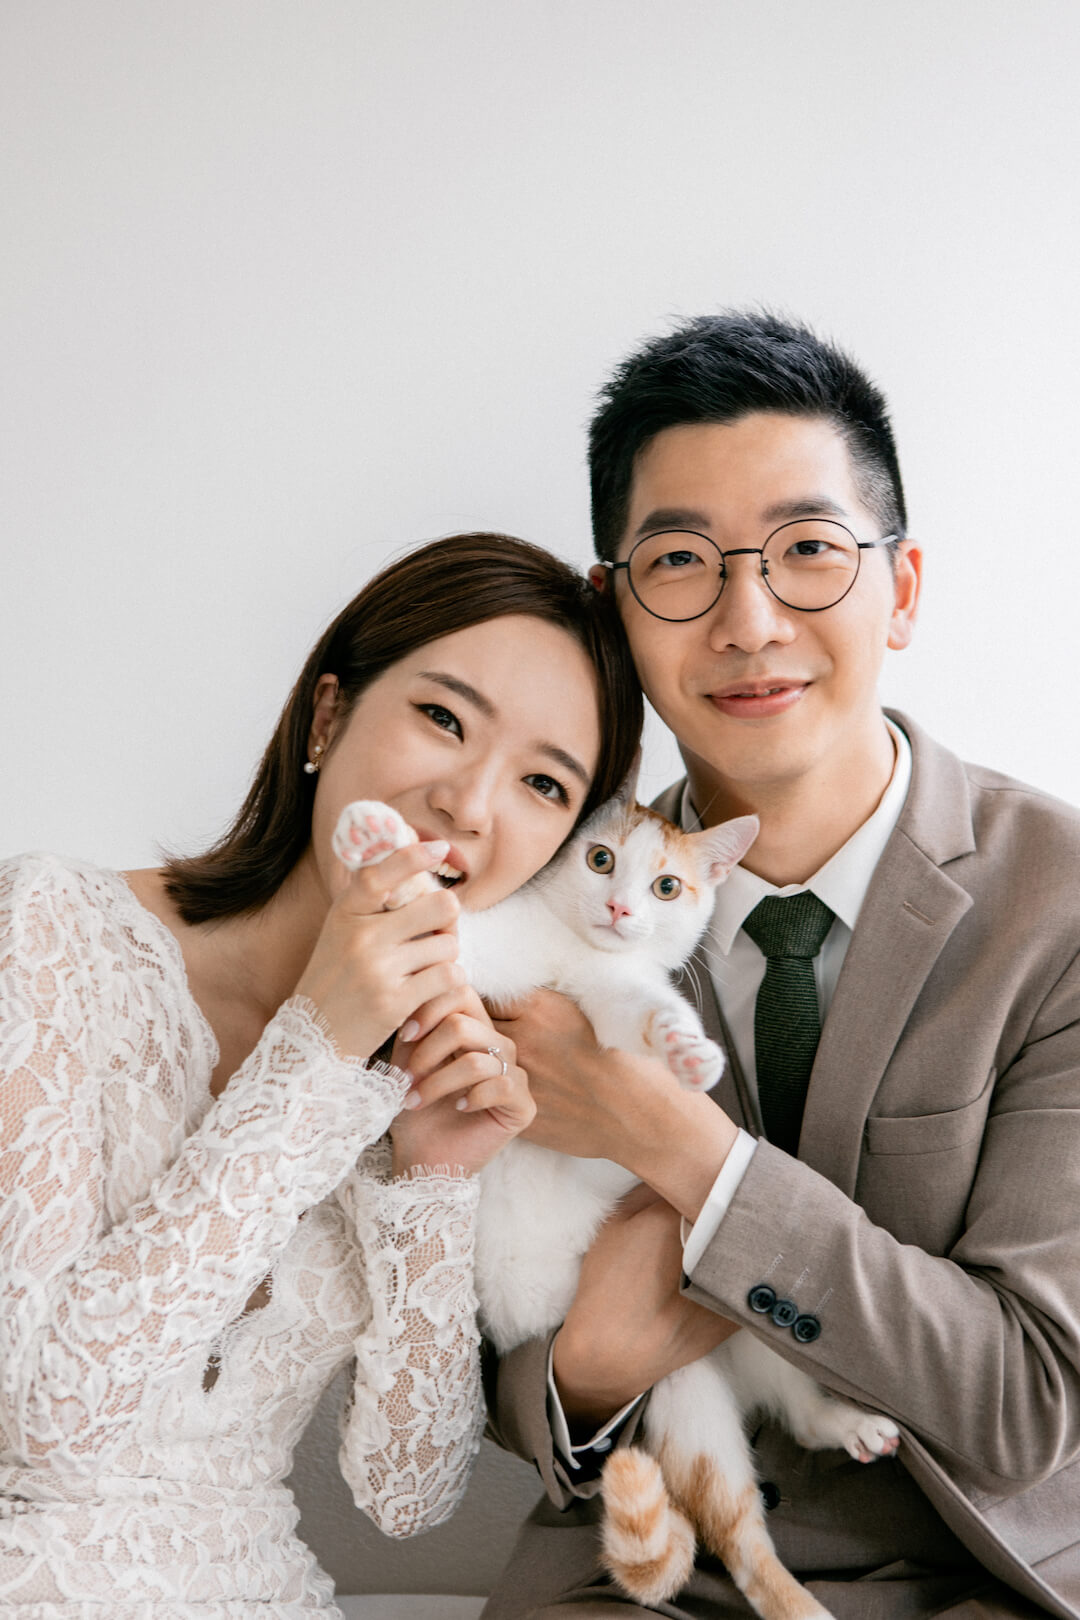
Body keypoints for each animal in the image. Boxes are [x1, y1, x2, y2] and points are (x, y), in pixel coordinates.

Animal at [332, 791, 900, 1620]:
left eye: (667, 887)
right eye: (599, 859)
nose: (620, 907)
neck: (578, 951)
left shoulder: (615, 990)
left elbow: (637, 1012)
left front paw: (683, 1045)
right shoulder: (494, 955)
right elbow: (445, 926)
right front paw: (380, 843)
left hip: (732, 1326)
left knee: (787, 1416)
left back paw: (842, 1425)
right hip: (681, 1396)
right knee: (735, 1535)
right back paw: (795, 1597)